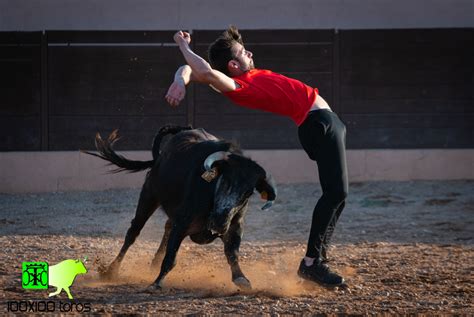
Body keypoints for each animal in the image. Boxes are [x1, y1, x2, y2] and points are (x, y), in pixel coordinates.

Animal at [83, 124, 276, 288]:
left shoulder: (235, 225)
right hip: (149, 195)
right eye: (225, 180)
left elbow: (232, 253)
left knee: (167, 227)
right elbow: (171, 255)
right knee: (133, 232)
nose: (219, 223)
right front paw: (156, 283)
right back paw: (110, 271)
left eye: (248, 192)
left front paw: (241, 278)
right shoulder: (182, 222)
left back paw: (153, 264)